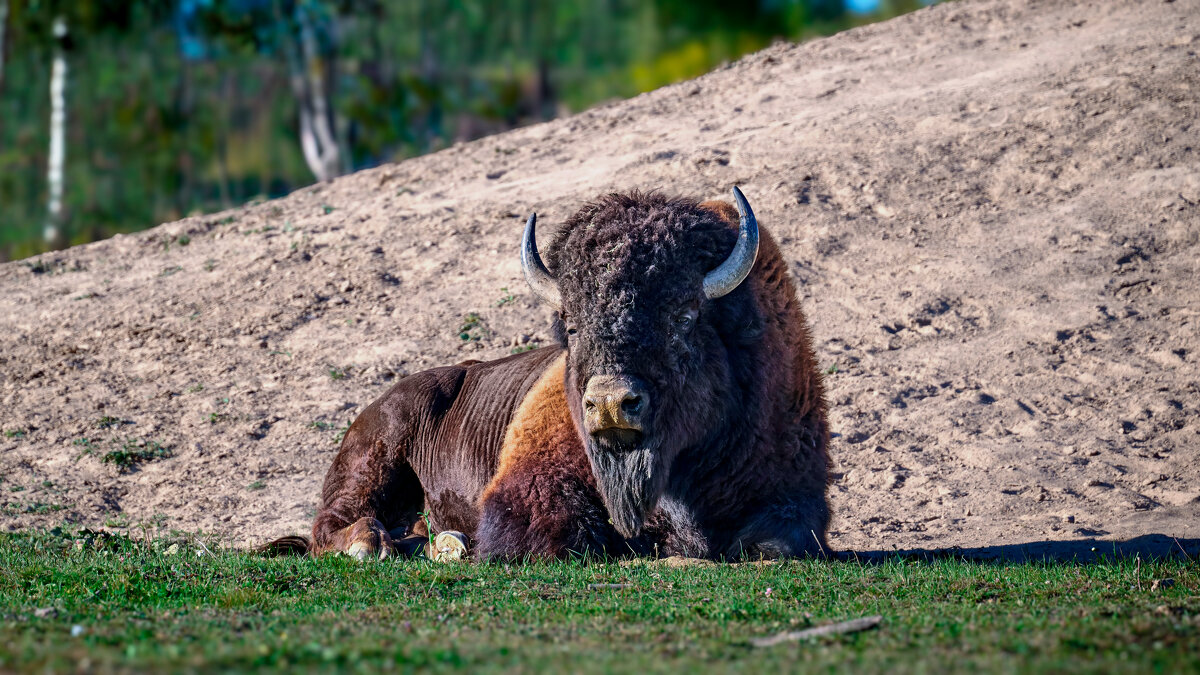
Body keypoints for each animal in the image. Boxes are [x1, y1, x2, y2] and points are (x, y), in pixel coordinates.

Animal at [264, 186, 830, 559]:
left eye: (684, 316)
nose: (609, 403)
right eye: (572, 325)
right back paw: (377, 544)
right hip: (375, 462)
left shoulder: (794, 498)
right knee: (331, 525)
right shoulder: (527, 490)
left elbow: (782, 541)